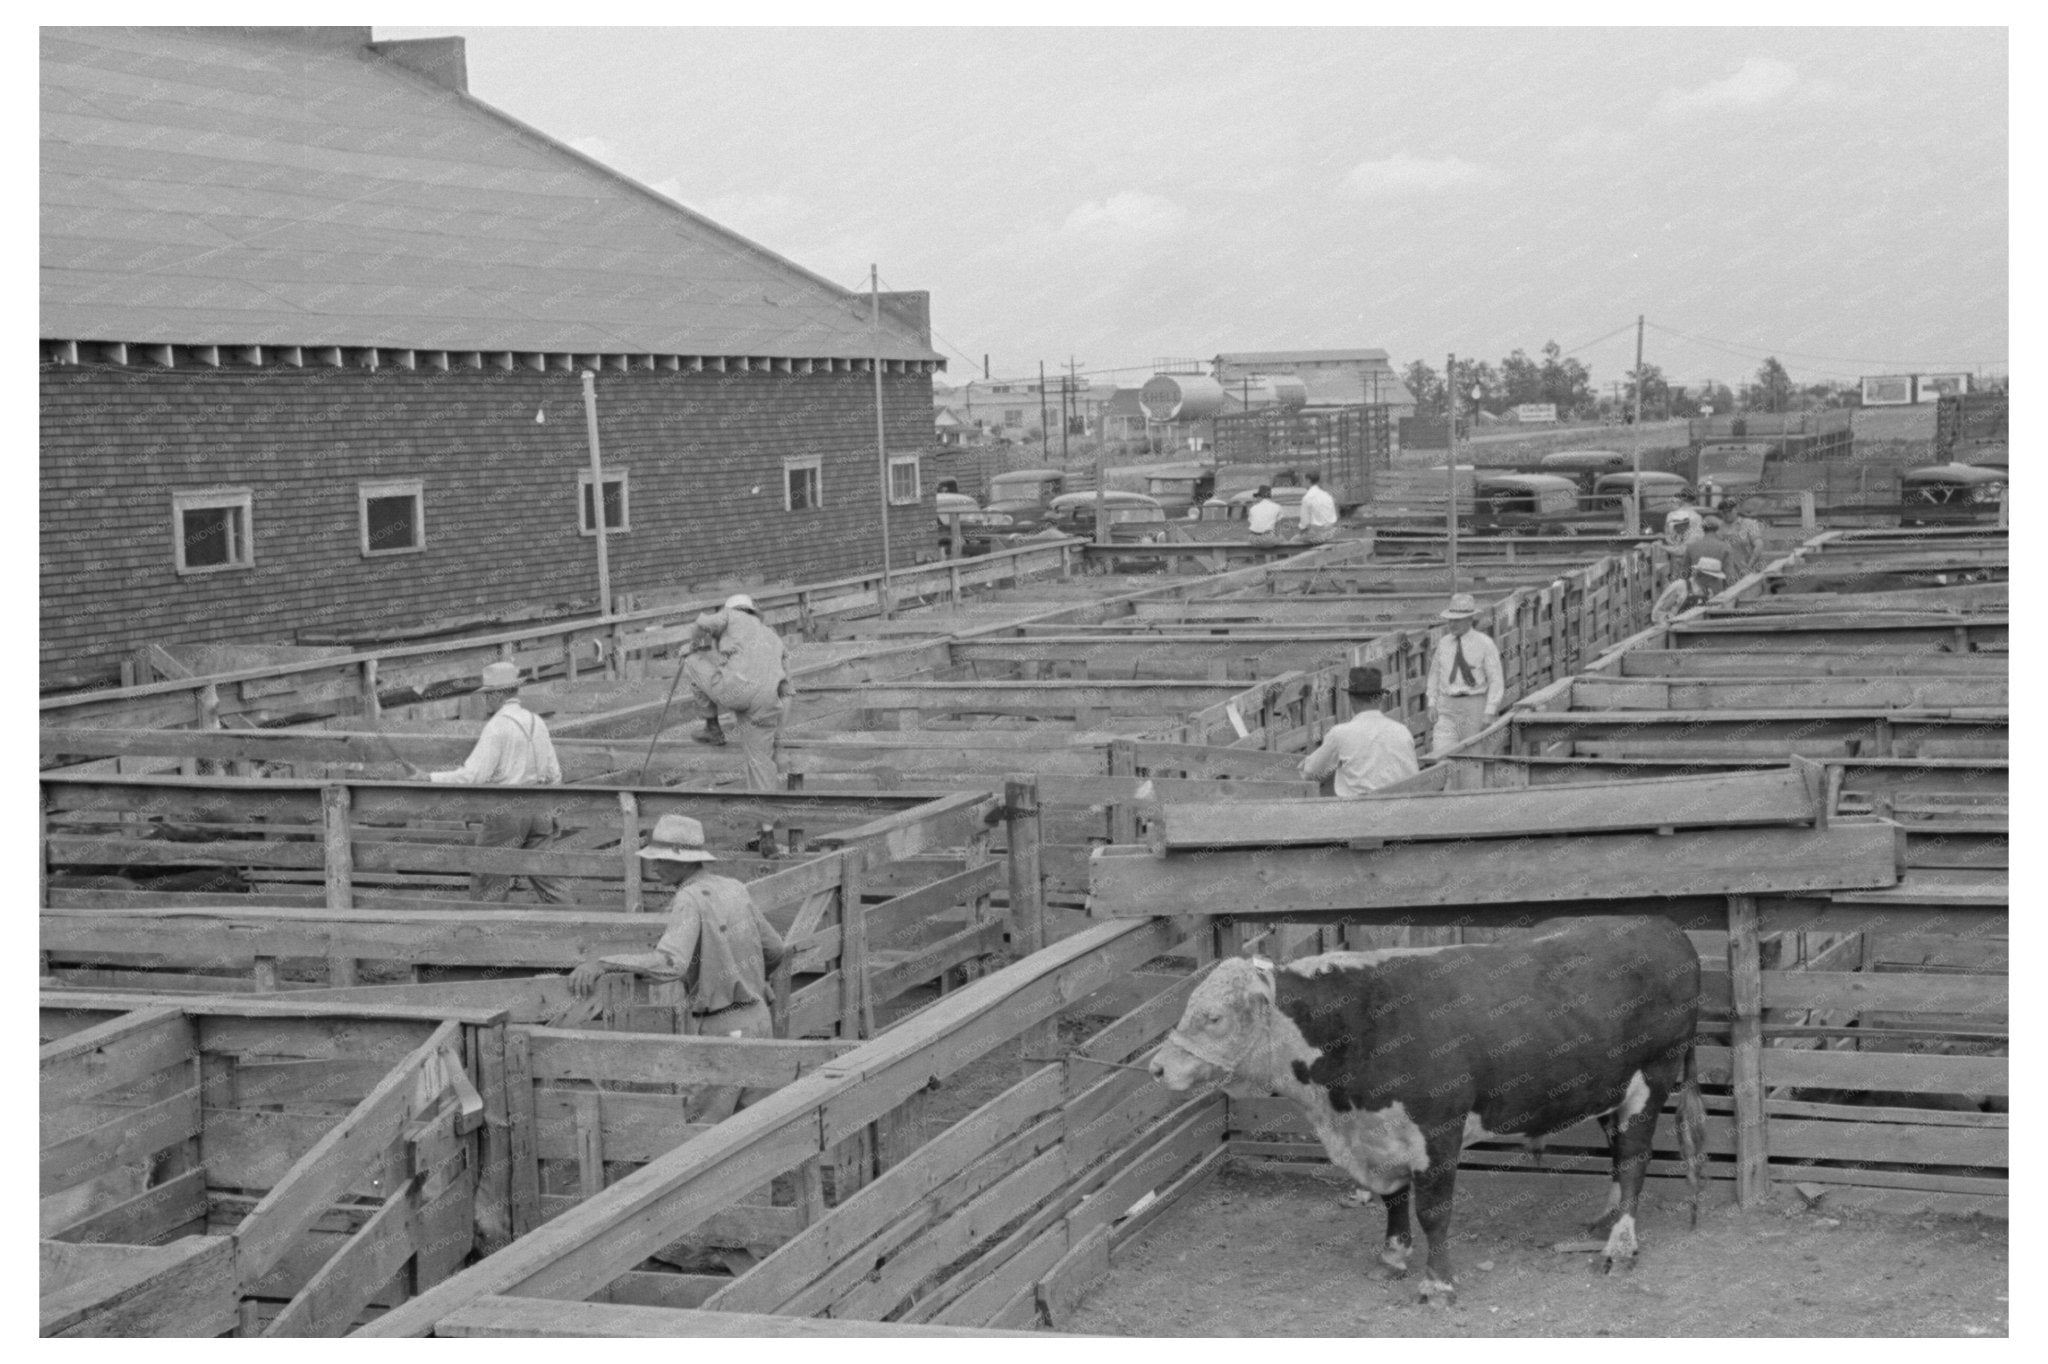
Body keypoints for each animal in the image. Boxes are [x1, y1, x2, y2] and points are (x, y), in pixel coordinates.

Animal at [1155, 913, 1712, 1294]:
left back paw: (1620, 1245)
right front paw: (1393, 1254)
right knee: (1618, 1152)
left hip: (1652, 1079)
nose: (1157, 1067)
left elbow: (1433, 1212)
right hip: (1608, 1089)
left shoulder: (1438, 1131)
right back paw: (1605, 1219)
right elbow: (1394, 1198)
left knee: (1635, 1159)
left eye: (1213, 1018)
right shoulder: (1381, 1134)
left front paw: (1438, 1282)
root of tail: (1665, 927)